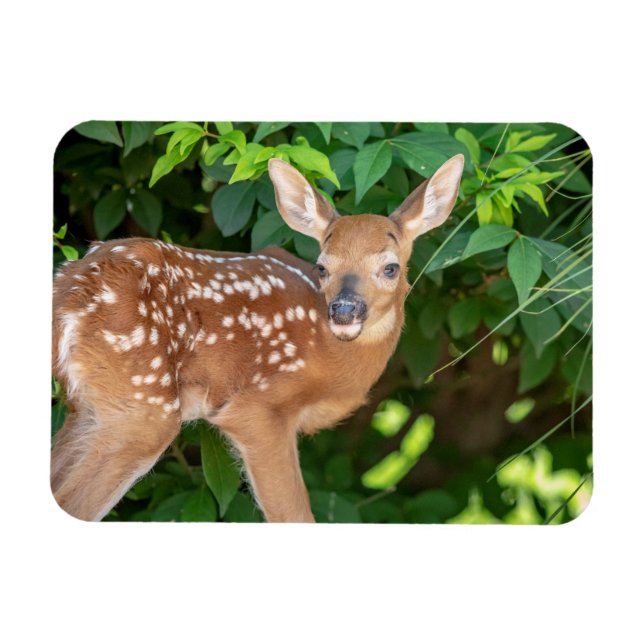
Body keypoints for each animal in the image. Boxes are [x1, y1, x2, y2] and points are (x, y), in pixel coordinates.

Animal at [51, 154, 464, 522]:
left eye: (390, 268)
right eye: (322, 267)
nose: (344, 311)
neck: (330, 359)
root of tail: (70, 288)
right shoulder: (258, 407)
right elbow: (295, 516)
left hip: (89, 405)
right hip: (141, 402)